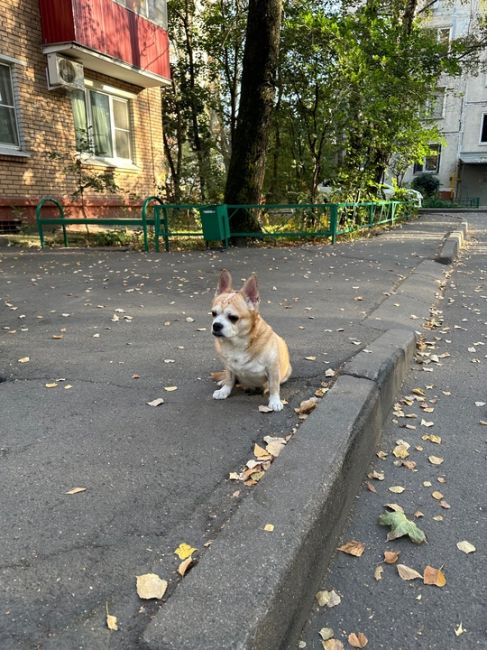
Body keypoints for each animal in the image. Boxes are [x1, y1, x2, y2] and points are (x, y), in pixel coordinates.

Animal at [212, 268, 292, 410]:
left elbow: (273, 386)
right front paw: (225, 390)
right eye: (213, 314)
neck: (237, 343)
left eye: (233, 318)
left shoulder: (272, 369)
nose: (216, 325)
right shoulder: (229, 367)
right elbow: (229, 378)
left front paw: (274, 400)